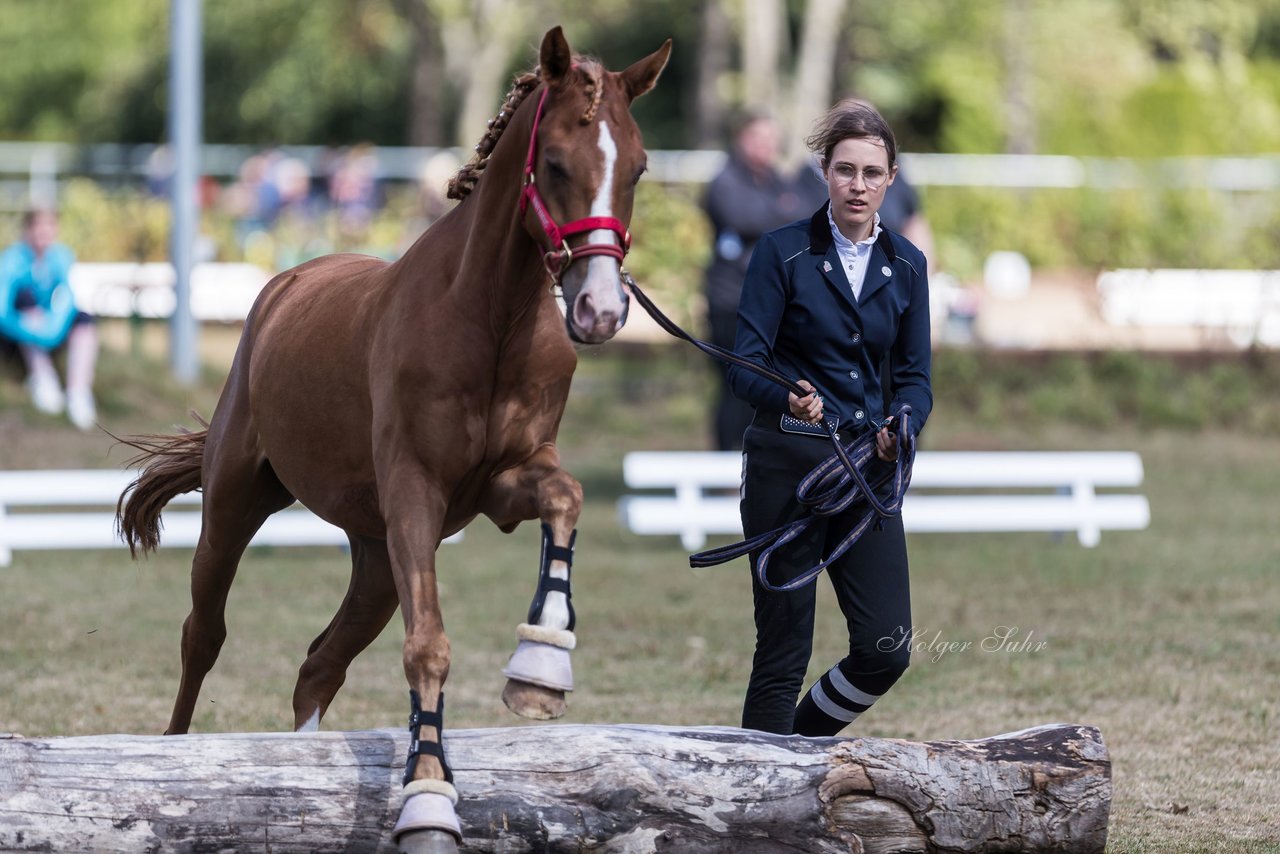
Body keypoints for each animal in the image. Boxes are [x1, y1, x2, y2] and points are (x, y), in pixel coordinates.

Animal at [119, 28, 670, 854]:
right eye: (556, 163)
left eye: (637, 167)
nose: (601, 311)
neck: (489, 316)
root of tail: (285, 286)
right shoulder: (416, 491)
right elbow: (428, 646)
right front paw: (429, 806)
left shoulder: (502, 484)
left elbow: (566, 498)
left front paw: (540, 668)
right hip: (235, 506)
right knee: (203, 634)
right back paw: (179, 756)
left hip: (377, 559)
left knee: (320, 664)